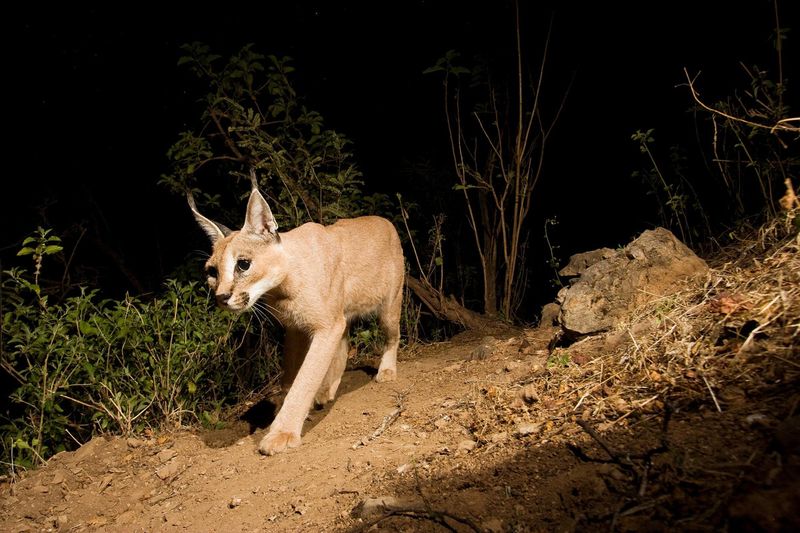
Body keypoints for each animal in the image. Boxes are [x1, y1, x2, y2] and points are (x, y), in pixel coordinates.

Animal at [189, 180, 406, 454]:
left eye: (243, 264)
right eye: (212, 272)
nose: (221, 297)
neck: (281, 288)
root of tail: (384, 220)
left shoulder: (325, 326)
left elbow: (305, 378)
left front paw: (282, 432)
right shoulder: (296, 328)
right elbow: (289, 376)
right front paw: (284, 411)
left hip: (388, 305)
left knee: (392, 335)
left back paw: (386, 370)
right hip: (341, 315)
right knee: (344, 343)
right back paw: (327, 390)